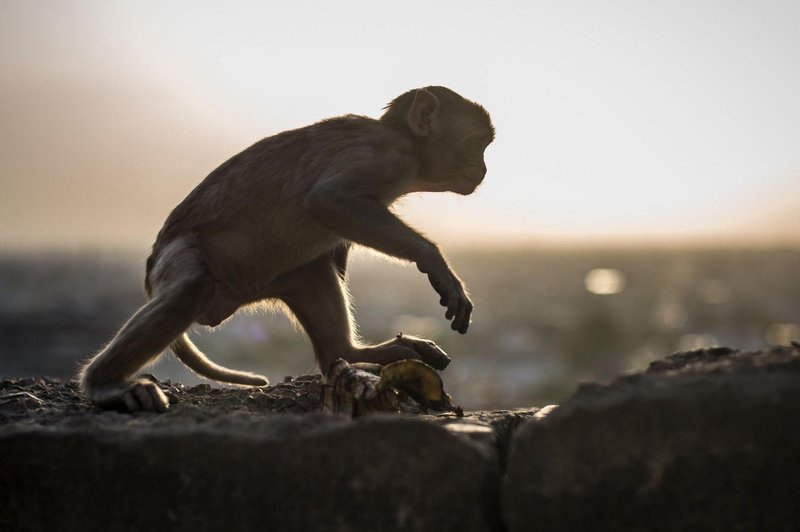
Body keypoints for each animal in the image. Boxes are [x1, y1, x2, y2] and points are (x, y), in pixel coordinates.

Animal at [79, 86, 494, 412]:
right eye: (477, 144)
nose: (485, 169)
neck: (408, 146)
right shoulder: (381, 155)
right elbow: (328, 199)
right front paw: (434, 262)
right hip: (177, 257)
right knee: (189, 289)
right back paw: (105, 384)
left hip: (270, 279)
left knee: (312, 275)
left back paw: (352, 354)